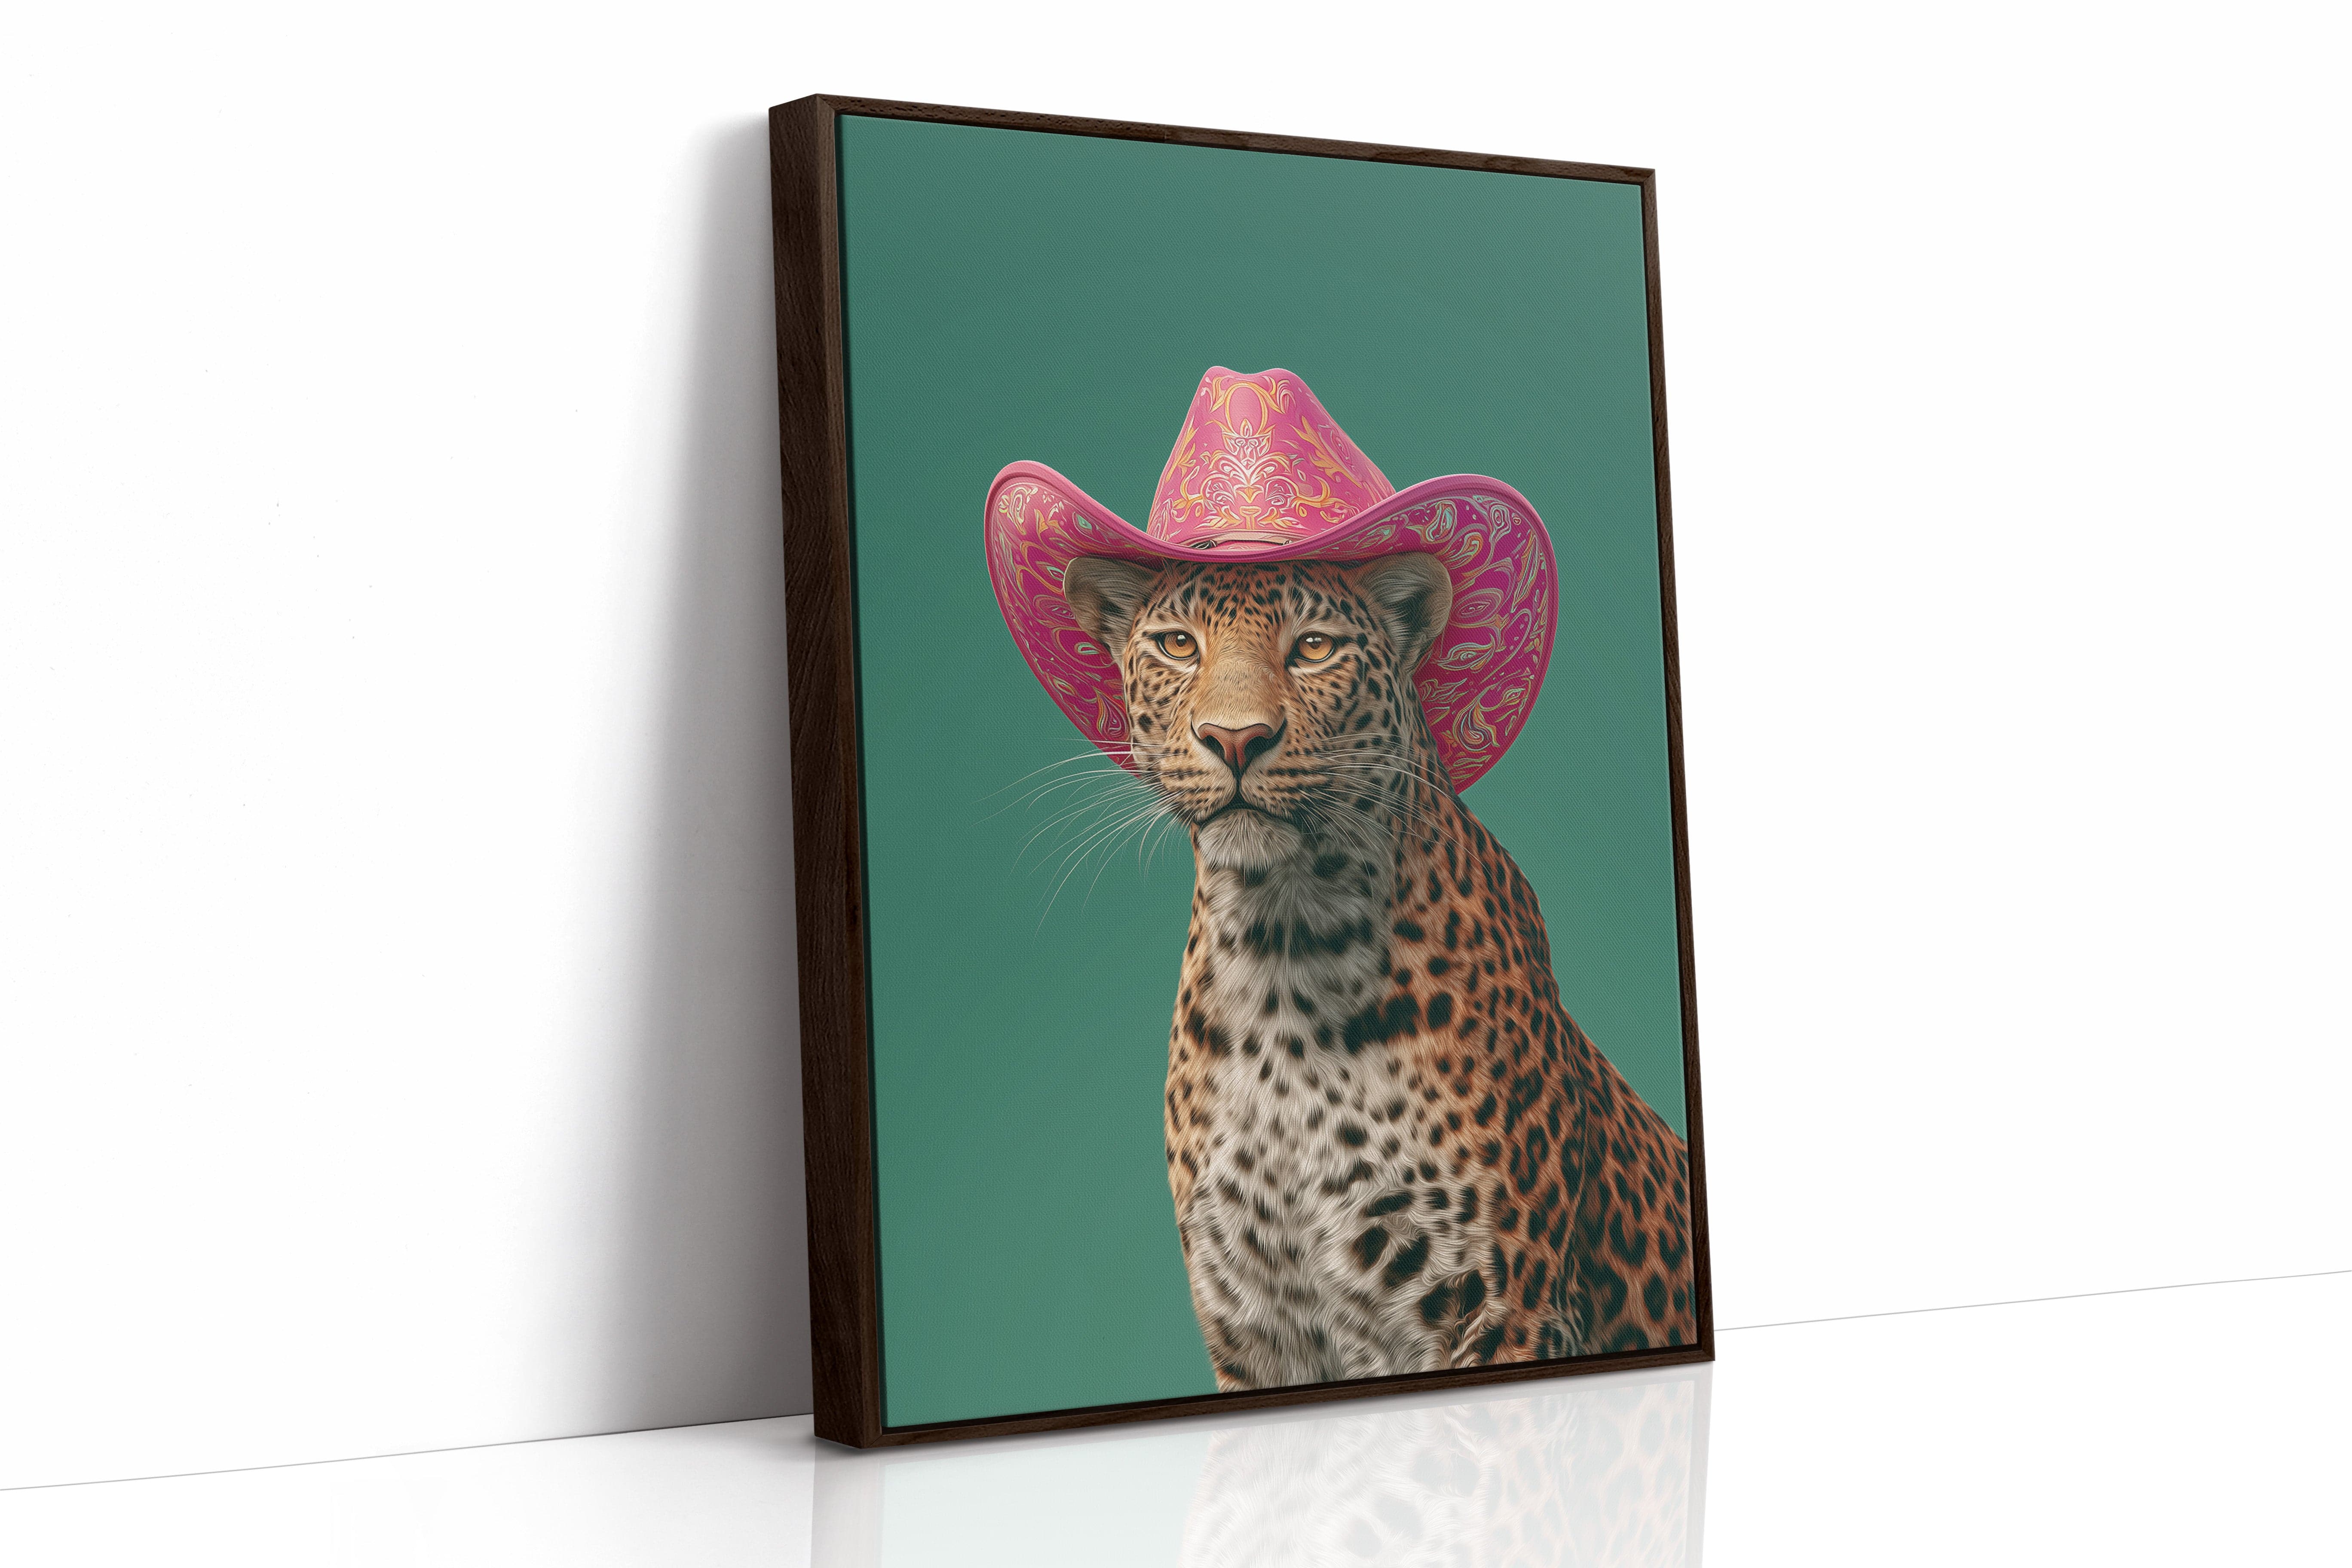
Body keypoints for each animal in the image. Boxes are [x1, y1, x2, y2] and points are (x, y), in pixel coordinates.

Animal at [1060, 551, 1697, 1393]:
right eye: (1177, 645)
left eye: (1314, 647)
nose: (1235, 739)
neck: (1283, 951)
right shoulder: (1254, 1328)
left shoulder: (1501, 1308)